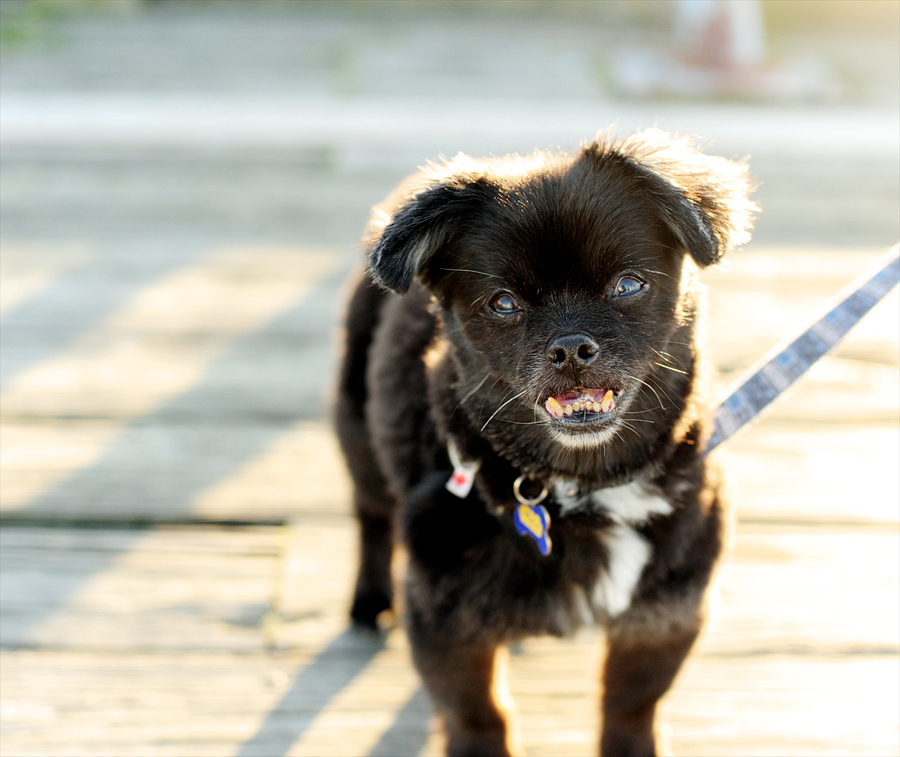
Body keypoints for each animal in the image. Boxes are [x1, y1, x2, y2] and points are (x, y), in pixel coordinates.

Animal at [334, 133, 756, 752]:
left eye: (628, 285)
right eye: (503, 302)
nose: (571, 347)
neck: (586, 487)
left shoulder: (666, 613)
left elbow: (631, 706)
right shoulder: (444, 622)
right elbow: (480, 716)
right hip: (356, 432)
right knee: (371, 517)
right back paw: (369, 600)